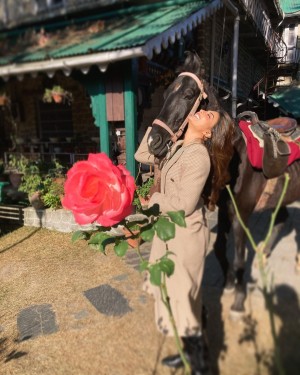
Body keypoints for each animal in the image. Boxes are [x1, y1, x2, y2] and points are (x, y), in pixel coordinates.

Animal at [145, 49, 300, 314]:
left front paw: (238, 301)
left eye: (188, 95)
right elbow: (219, 249)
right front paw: (228, 285)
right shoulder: (226, 209)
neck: (233, 156)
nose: (153, 141)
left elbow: (238, 258)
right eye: (164, 95)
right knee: (281, 219)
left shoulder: (241, 213)